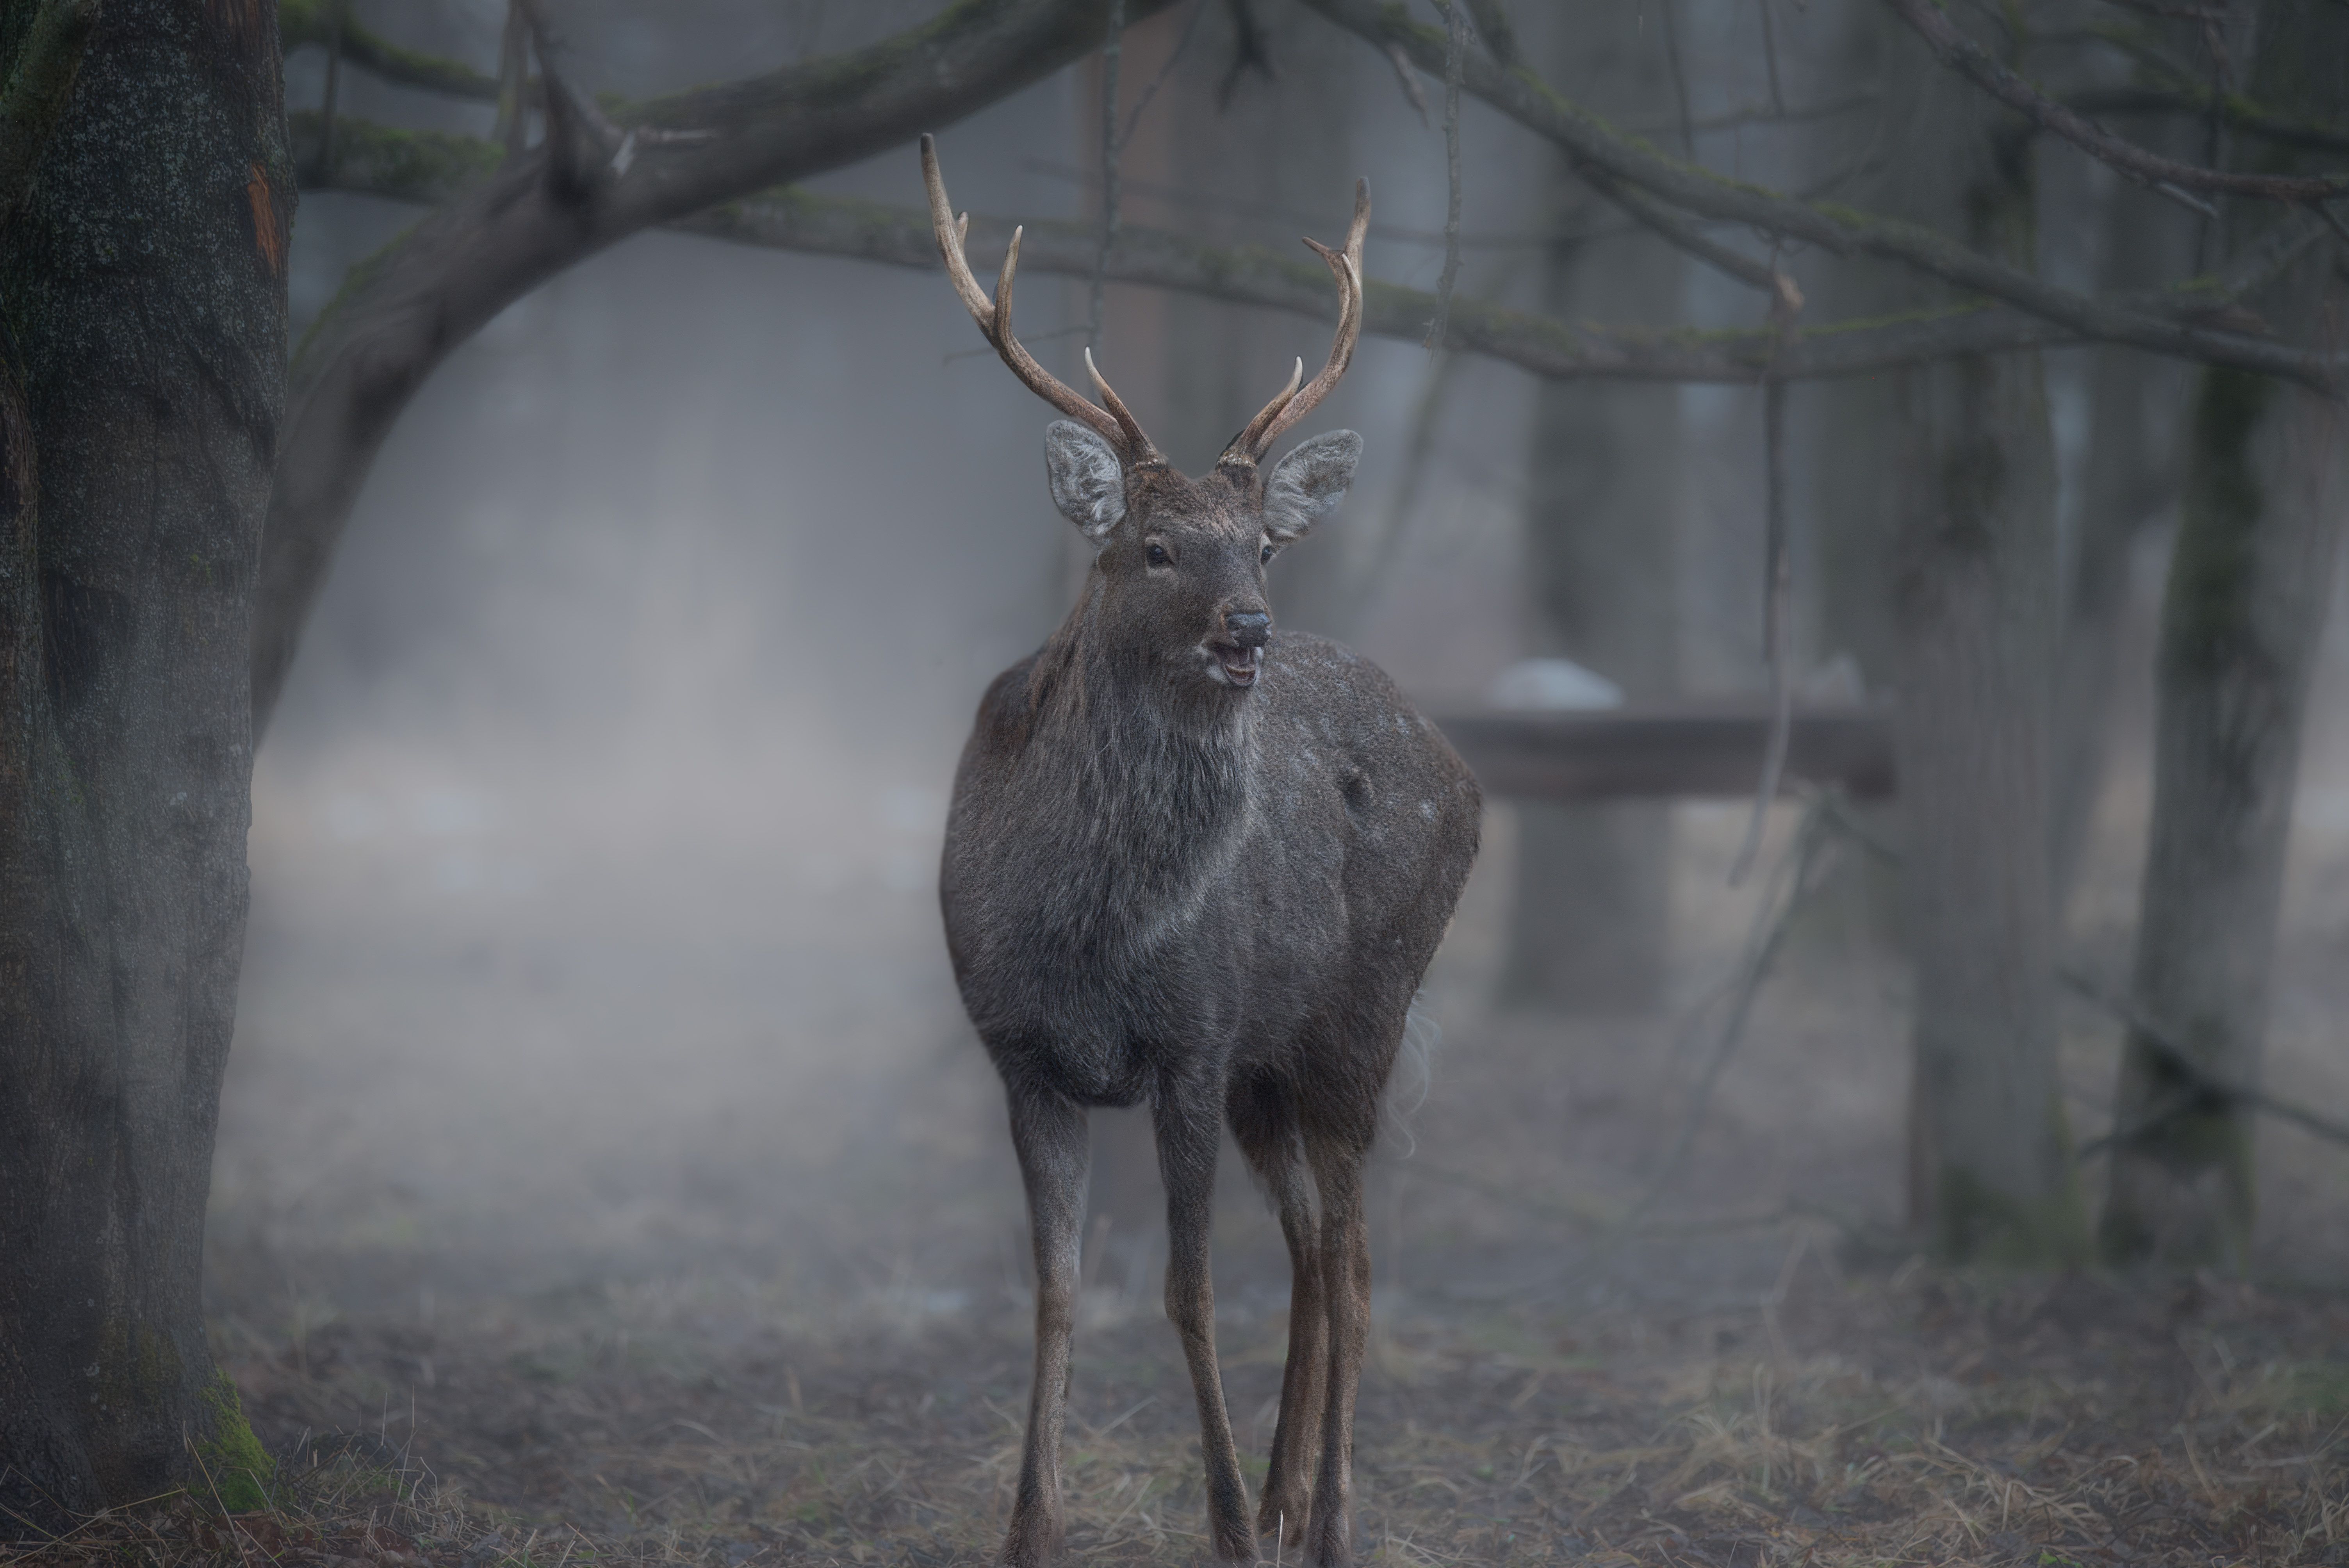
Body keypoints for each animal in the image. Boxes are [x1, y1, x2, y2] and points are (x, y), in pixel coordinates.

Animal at [922, 135, 1481, 1568]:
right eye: (1154, 544)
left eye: (1265, 543)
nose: (1249, 629)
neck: (1087, 932)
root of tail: (1461, 766)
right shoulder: (1021, 1052)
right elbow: (1058, 1288)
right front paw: (1031, 1527)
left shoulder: (1189, 1037)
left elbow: (1185, 1289)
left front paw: (1222, 1521)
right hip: (1269, 1062)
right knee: (1308, 1241)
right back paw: (1289, 1498)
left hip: (1359, 1015)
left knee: (1352, 1255)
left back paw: (1323, 1516)